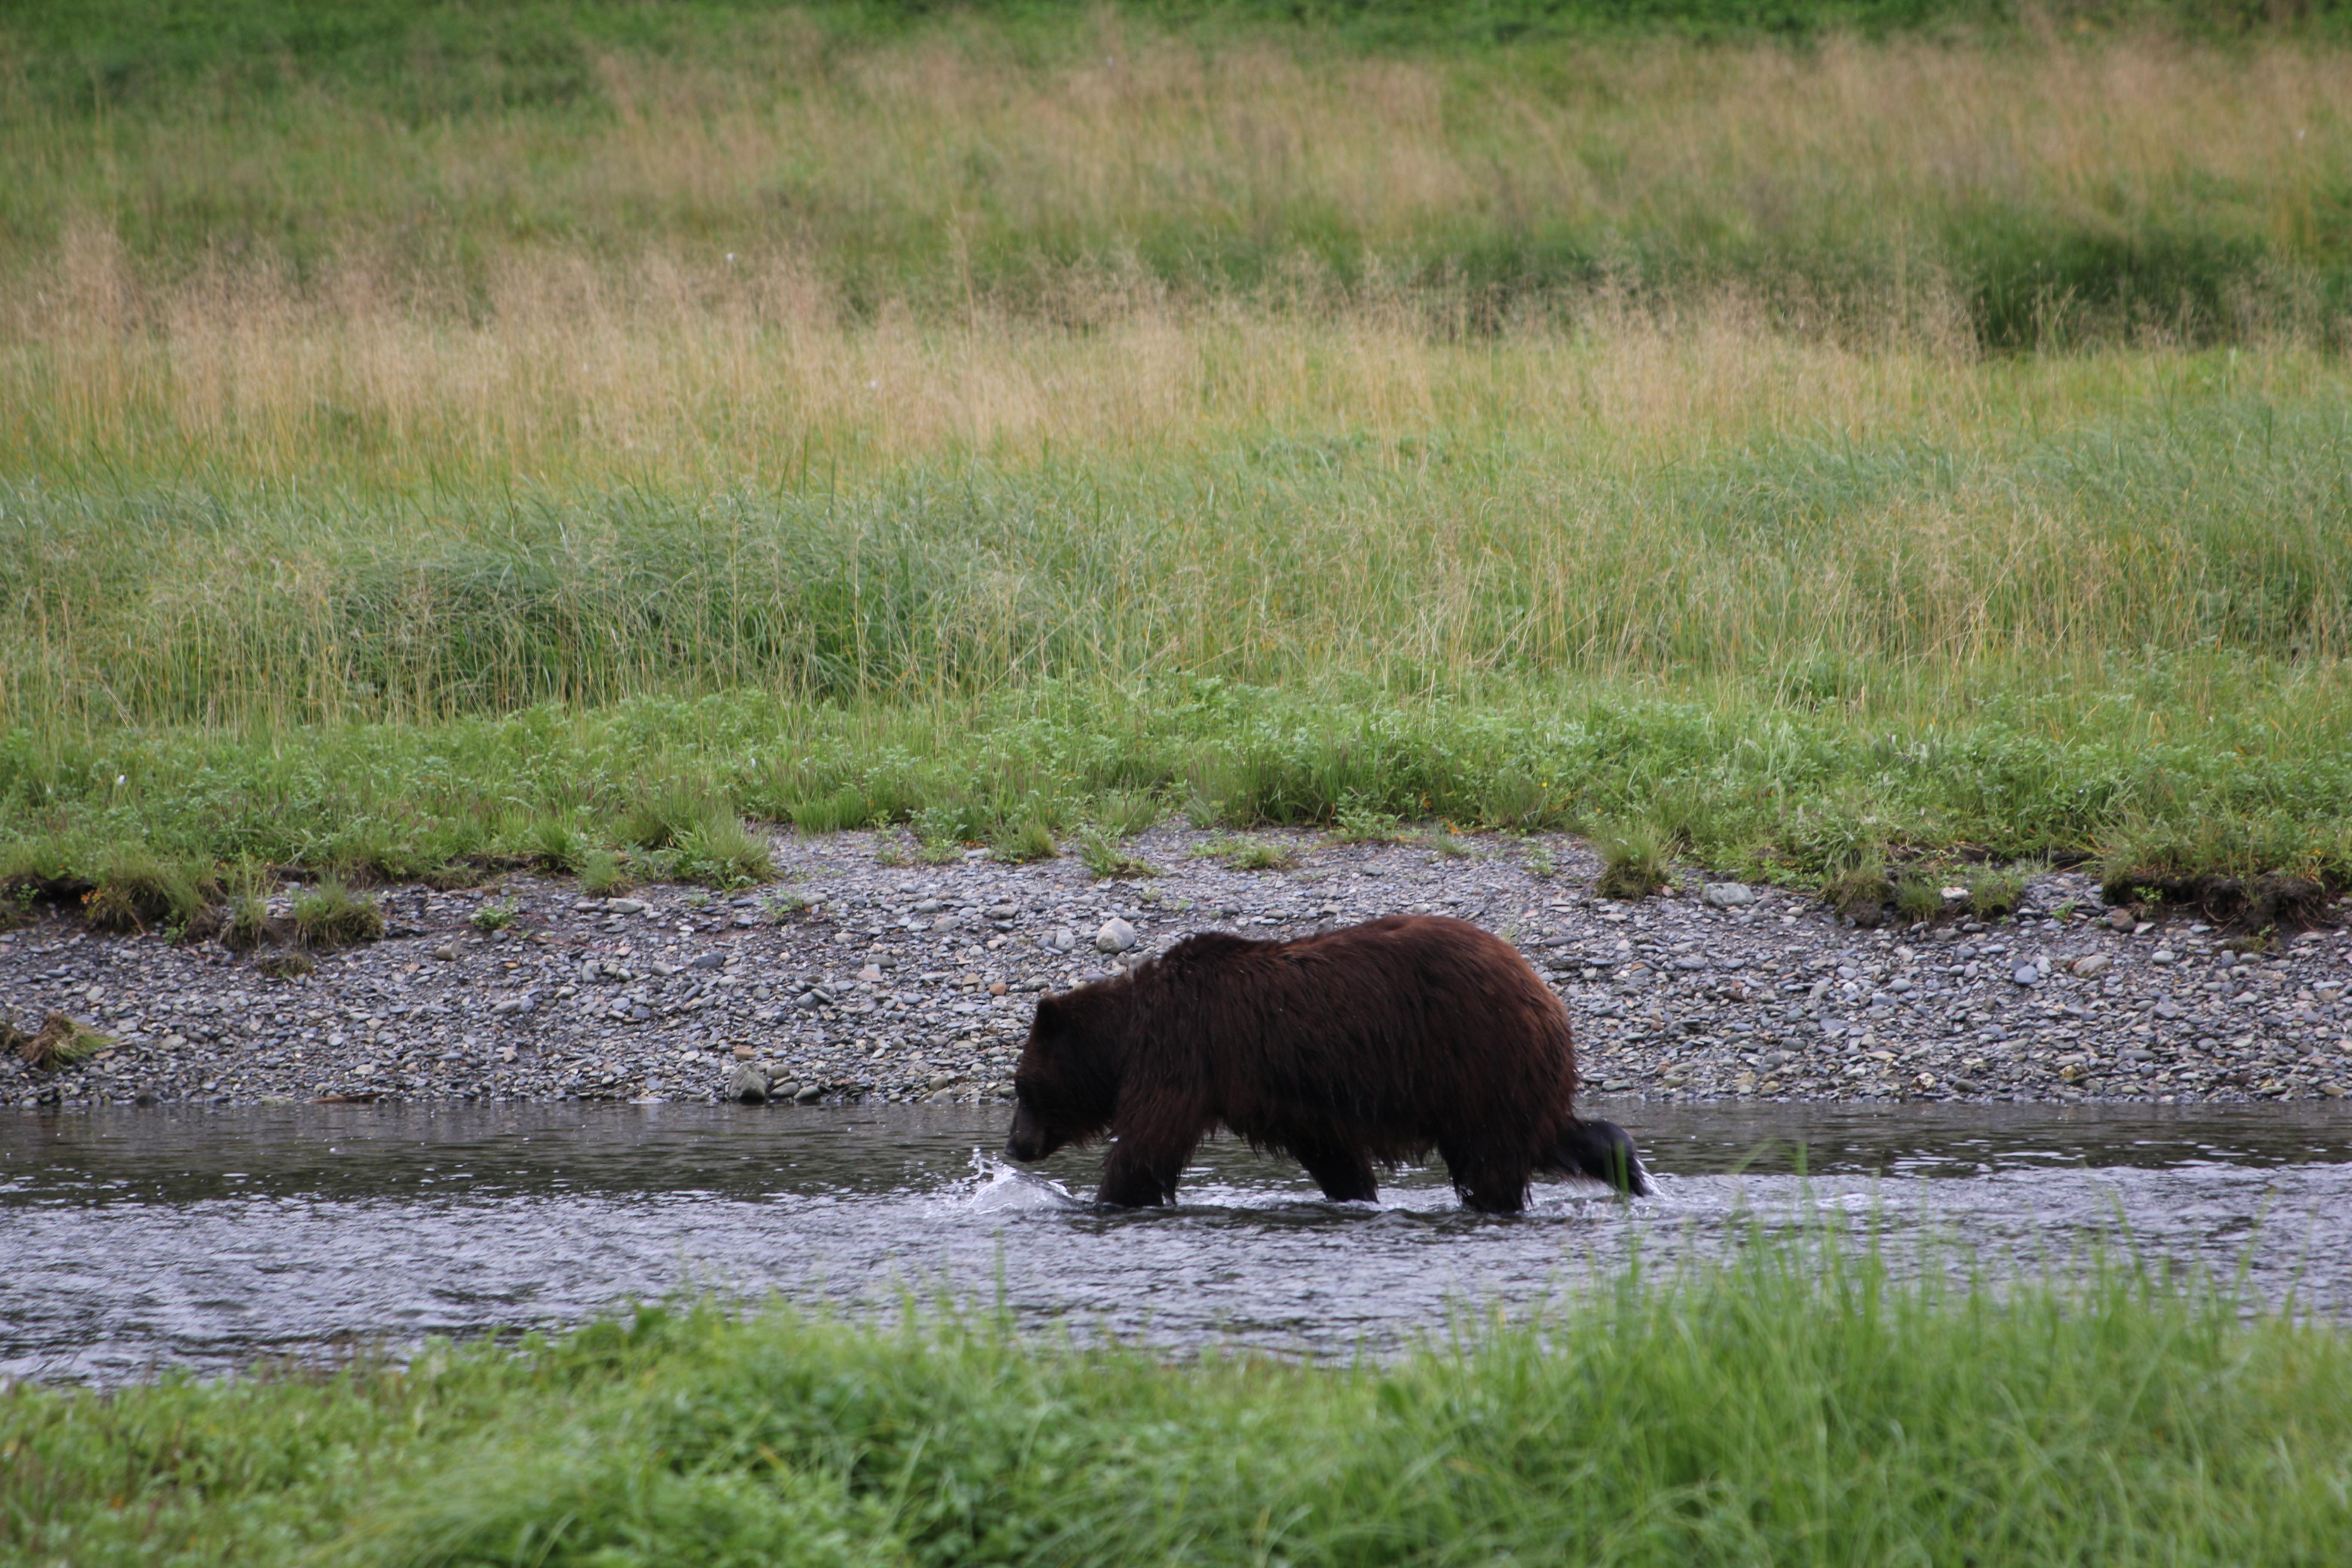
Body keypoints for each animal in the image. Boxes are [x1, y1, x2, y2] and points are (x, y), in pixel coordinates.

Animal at [1002, 921, 1646, 1213]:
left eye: (1023, 1086)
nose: (1014, 1145)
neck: (1128, 1036)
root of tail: (1543, 990)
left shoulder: (1183, 1055)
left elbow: (1147, 1143)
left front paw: (1103, 1199)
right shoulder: (1288, 1096)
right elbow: (1332, 1154)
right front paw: (1356, 1194)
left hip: (1478, 1058)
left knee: (1493, 1161)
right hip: (1497, 1080)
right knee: (1549, 1136)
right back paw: (1627, 1169)